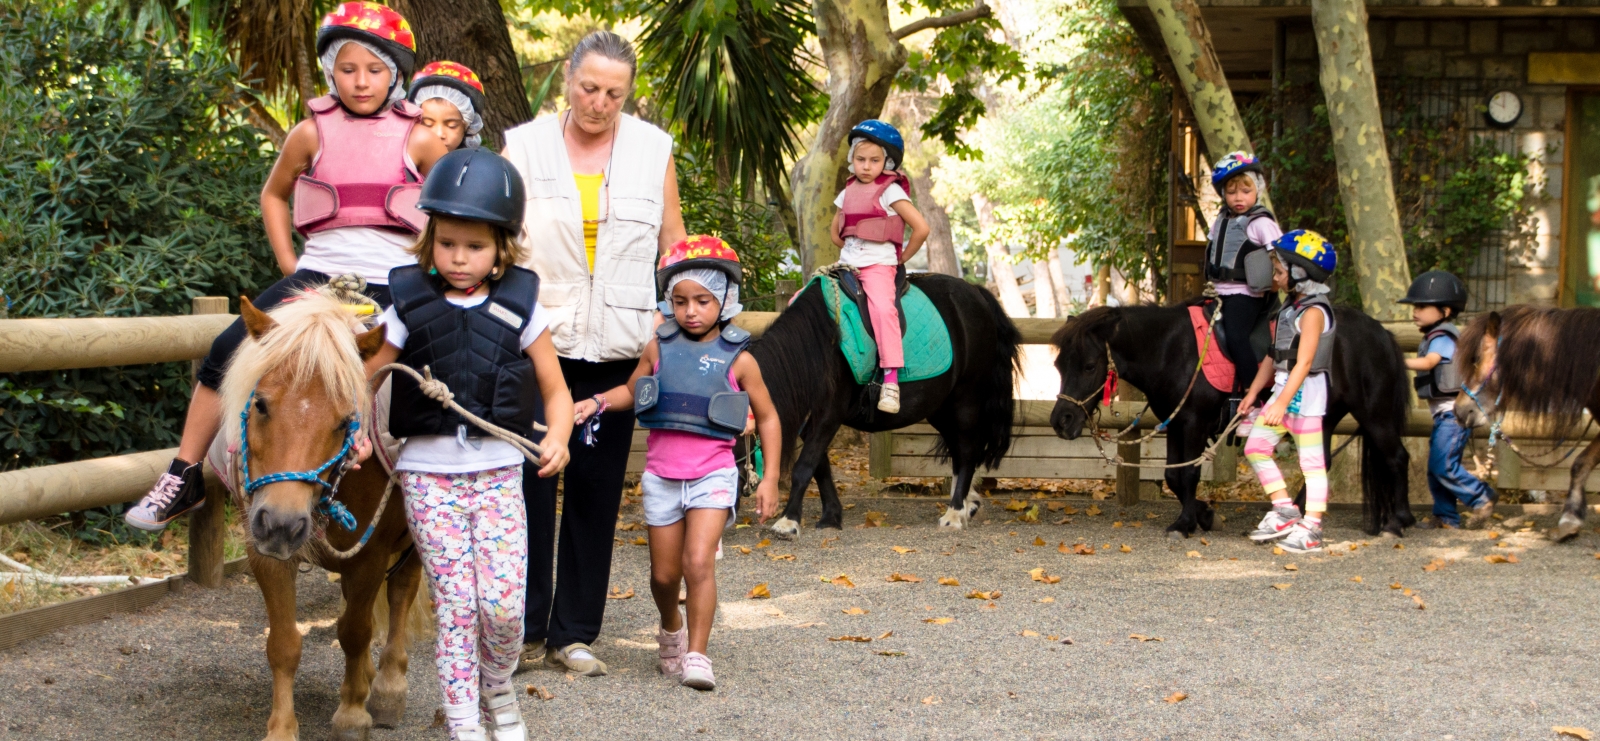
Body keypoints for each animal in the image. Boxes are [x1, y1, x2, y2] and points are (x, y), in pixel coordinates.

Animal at [227, 292, 425, 741]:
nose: (282, 523)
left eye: (343, 422)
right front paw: (282, 729)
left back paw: (387, 688)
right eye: (261, 404)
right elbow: (283, 644)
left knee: (401, 594)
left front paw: (352, 714)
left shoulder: (371, 556)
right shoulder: (264, 553)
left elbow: (355, 632)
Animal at [1049, 299, 1414, 537]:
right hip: (1322, 417)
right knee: (1320, 462)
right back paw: (1296, 515)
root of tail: (1381, 333)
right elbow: (1173, 476)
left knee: (1397, 457)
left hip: (1374, 413)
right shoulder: (1177, 424)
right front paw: (1205, 515)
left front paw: (1186, 524)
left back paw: (1398, 521)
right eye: (1058, 365)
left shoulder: (1193, 423)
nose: (1061, 421)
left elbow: (1187, 475)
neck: (1170, 349)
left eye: (1089, 366)